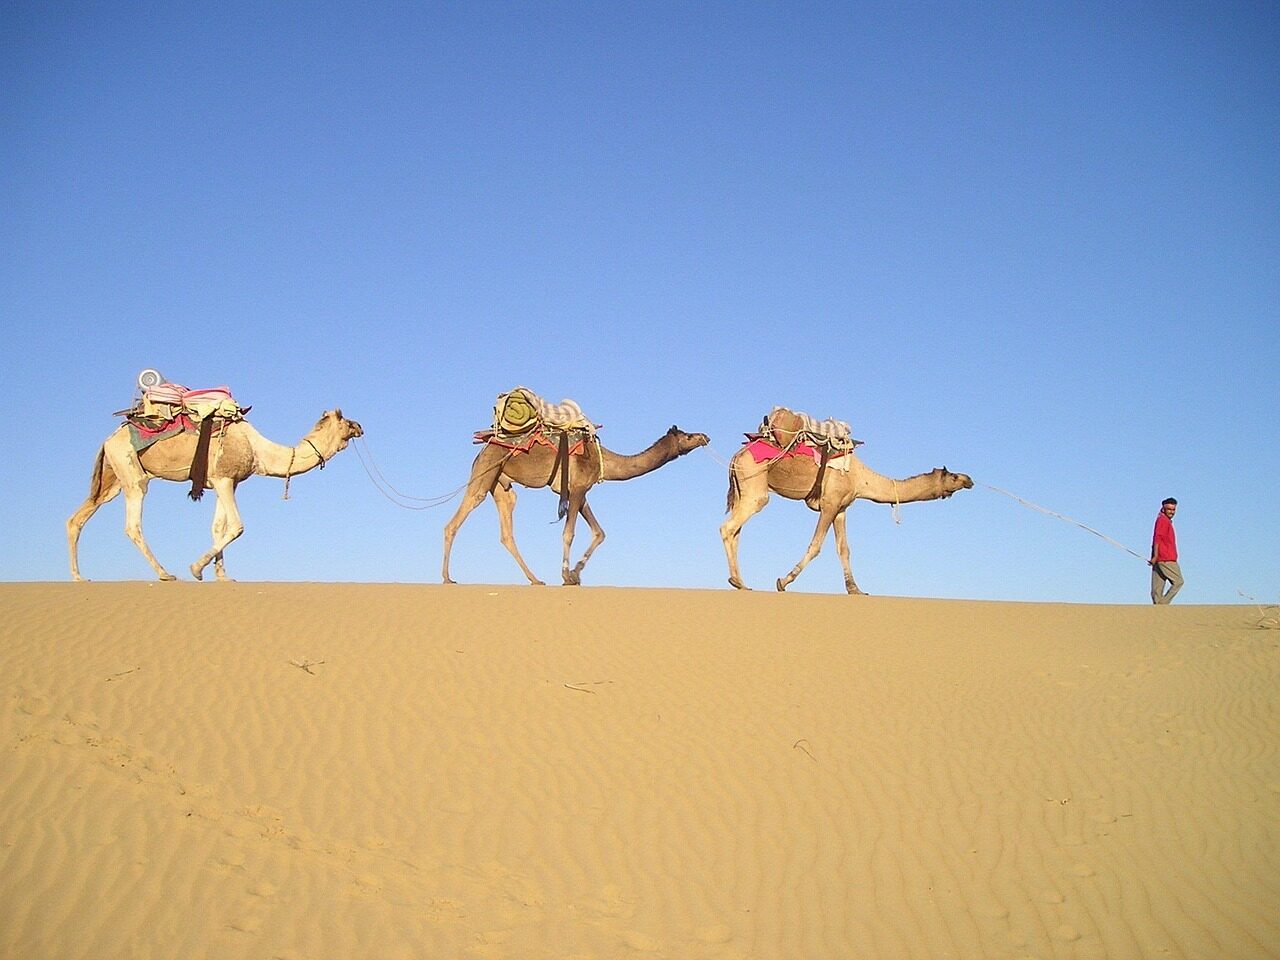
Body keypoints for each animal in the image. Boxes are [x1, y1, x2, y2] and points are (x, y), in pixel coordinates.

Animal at [67, 410, 364, 582]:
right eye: (345, 420)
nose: (360, 426)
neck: (258, 451)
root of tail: (108, 439)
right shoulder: (223, 477)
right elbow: (237, 526)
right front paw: (196, 569)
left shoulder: (229, 483)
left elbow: (218, 527)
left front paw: (222, 576)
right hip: (131, 471)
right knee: (132, 524)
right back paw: (164, 574)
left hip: (111, 478)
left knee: (77, 519)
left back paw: (79, 577)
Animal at [442, 425, 710, 586]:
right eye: (687, 436)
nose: (705, 437)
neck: (603, 461)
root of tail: (482, 450)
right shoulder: (579, 488)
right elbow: (568, 533)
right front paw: (566, 575)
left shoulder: (579, 492)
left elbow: (599, 532)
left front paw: (576, 573)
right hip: (486, 470)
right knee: (456, 520)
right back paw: (447, 578)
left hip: (502, 484)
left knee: (506, 530)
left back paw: (535, 580)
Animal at [720, 443, 972, 594]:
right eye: (953, 476)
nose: (969, 480)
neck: (862, 478)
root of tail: (736, 455)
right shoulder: (829, 504)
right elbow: (816, 546)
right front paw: (783, 581)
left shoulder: (841, 508)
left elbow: (844, 549)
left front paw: (855, 589)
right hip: (755, 487)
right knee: (728, 527)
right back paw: (738, 582)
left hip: (742, 489)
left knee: (736, 532)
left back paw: (739, 582)